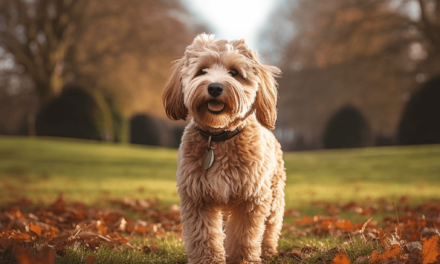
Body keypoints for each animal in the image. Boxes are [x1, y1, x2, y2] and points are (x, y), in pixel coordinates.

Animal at [163, 34, 288, 262]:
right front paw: (208, 259)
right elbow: (203, 235)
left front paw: (242, 259)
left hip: (274, 195)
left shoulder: (251, 198)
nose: (214, 87)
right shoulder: (197, 197)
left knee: (272, 225)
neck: (218, 138)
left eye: (234, 73)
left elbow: (244, 234)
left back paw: (268, 250)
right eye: (202, 70)